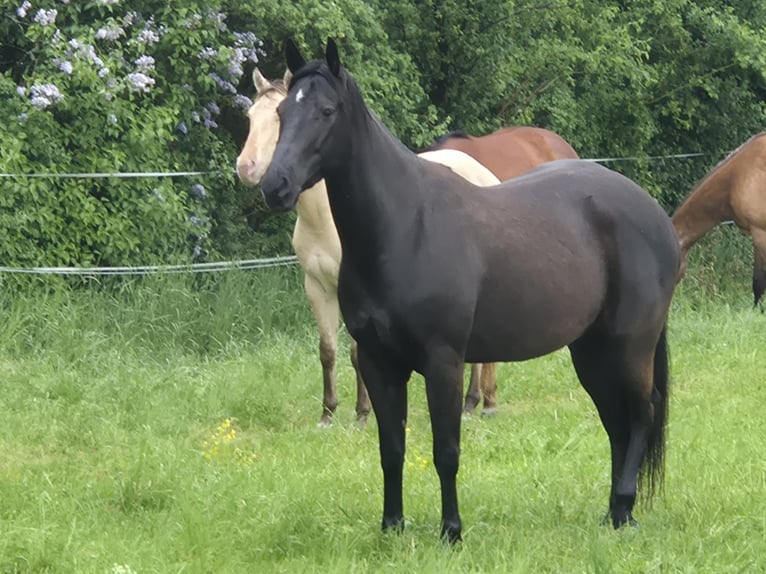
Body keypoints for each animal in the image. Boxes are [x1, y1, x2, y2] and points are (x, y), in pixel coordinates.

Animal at [236, 69, 500, 426]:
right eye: (250, 117)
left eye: (278, 119)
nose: (246, 167)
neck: (325, 218)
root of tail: (485, 174)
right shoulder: (316, 286)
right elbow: (327, 350)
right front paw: (328, 413)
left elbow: (355, 352)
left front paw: (363, 413)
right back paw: (472, 402)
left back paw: (481, 402)